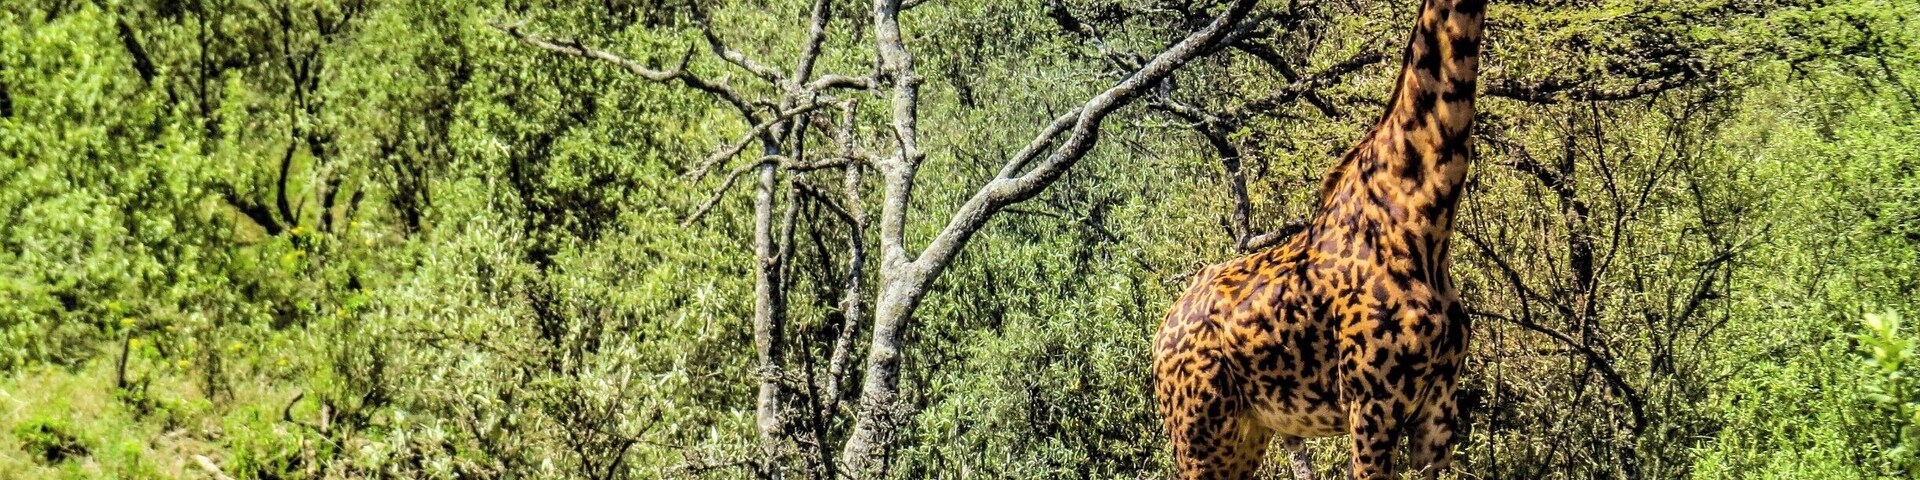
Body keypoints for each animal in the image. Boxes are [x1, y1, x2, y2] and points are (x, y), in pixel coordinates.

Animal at [1151, 0, 1485, 479]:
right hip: (1199, 434)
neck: (1422, 220)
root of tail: (1159, 339)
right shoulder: (1372, 405)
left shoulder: (1439, 408)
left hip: (1248, 433)